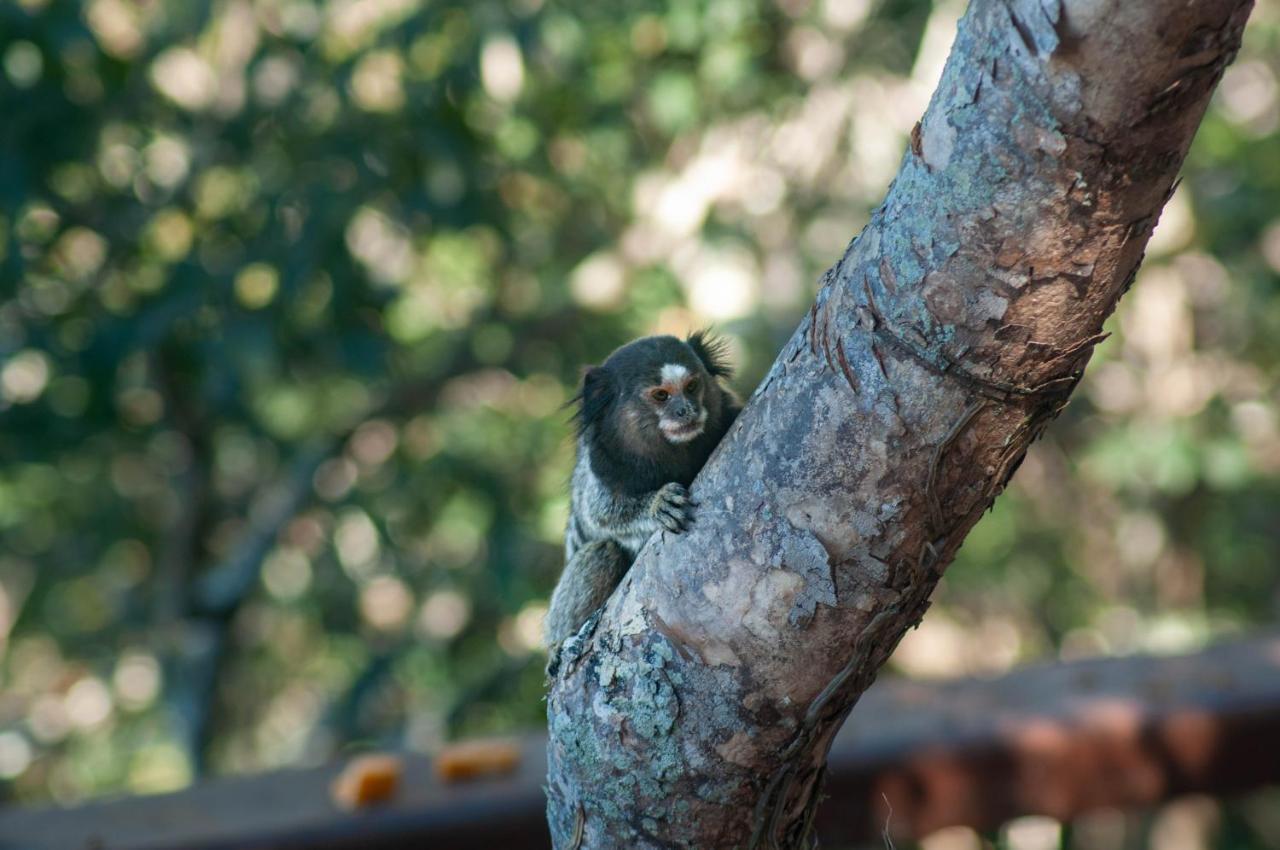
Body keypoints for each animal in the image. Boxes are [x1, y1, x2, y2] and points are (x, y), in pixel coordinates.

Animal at [542, 332, 742, 670]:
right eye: (661, 395)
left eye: (691, 386)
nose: (686, 410)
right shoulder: (601, 468)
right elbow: (600, 514)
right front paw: (657, 505)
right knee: (600, 552)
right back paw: (559, 642)